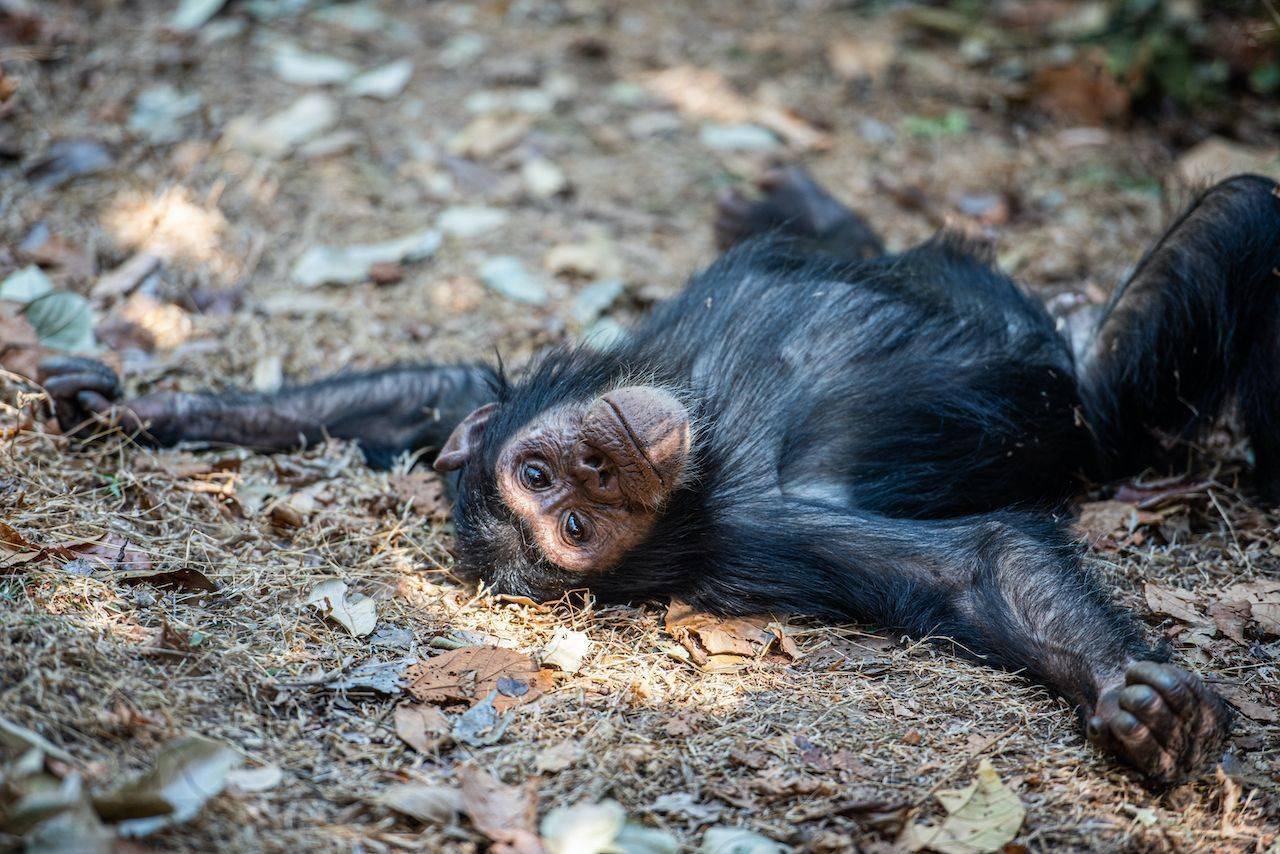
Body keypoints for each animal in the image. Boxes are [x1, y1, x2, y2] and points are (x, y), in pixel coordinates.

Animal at [42, 169, 1280, 788]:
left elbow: (430, 390)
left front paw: (142, 405)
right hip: (1109, 395)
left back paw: (809, 208)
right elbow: (975, 565)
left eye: (545, 472)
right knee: (1240, 216)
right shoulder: (774, 528)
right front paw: (1140, 707)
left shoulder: (481, 404)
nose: (595, 461)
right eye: (570, 520)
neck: (708, 434)